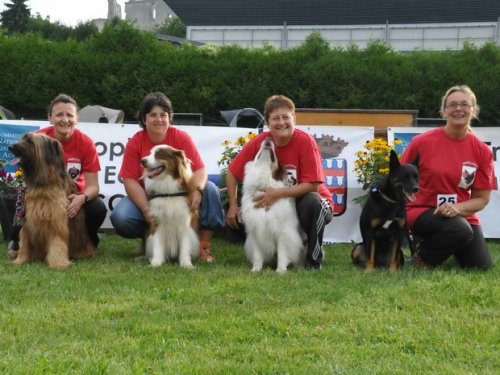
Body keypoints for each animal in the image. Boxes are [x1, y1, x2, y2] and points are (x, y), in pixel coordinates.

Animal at [8, 134, 94, 268]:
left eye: (30, 141)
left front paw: (58, 264)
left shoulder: (56, 219)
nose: (10, 147)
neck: (44, 181)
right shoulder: (28, 217)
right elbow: (24, 240)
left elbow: (57, 241)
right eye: (23, 138)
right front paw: (20, 261)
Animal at [241, 138, 306, 274]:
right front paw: (256, 269)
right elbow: (257, 254)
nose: (268, 138)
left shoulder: (283, 232)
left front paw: (280, 270)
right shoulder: (256, 229)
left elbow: (282, 252)